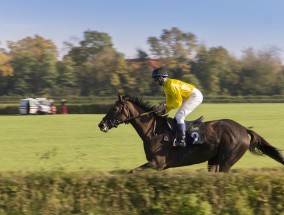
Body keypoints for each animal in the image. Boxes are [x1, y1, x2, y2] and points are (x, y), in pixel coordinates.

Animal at [98, 93, 284, 173]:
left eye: (114, 109)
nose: (101, 125)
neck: (154, 130)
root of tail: (244, 129)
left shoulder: (157, 163)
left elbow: (133, 171)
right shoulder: (159, 166)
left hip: (227, 161)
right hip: (214, 161)